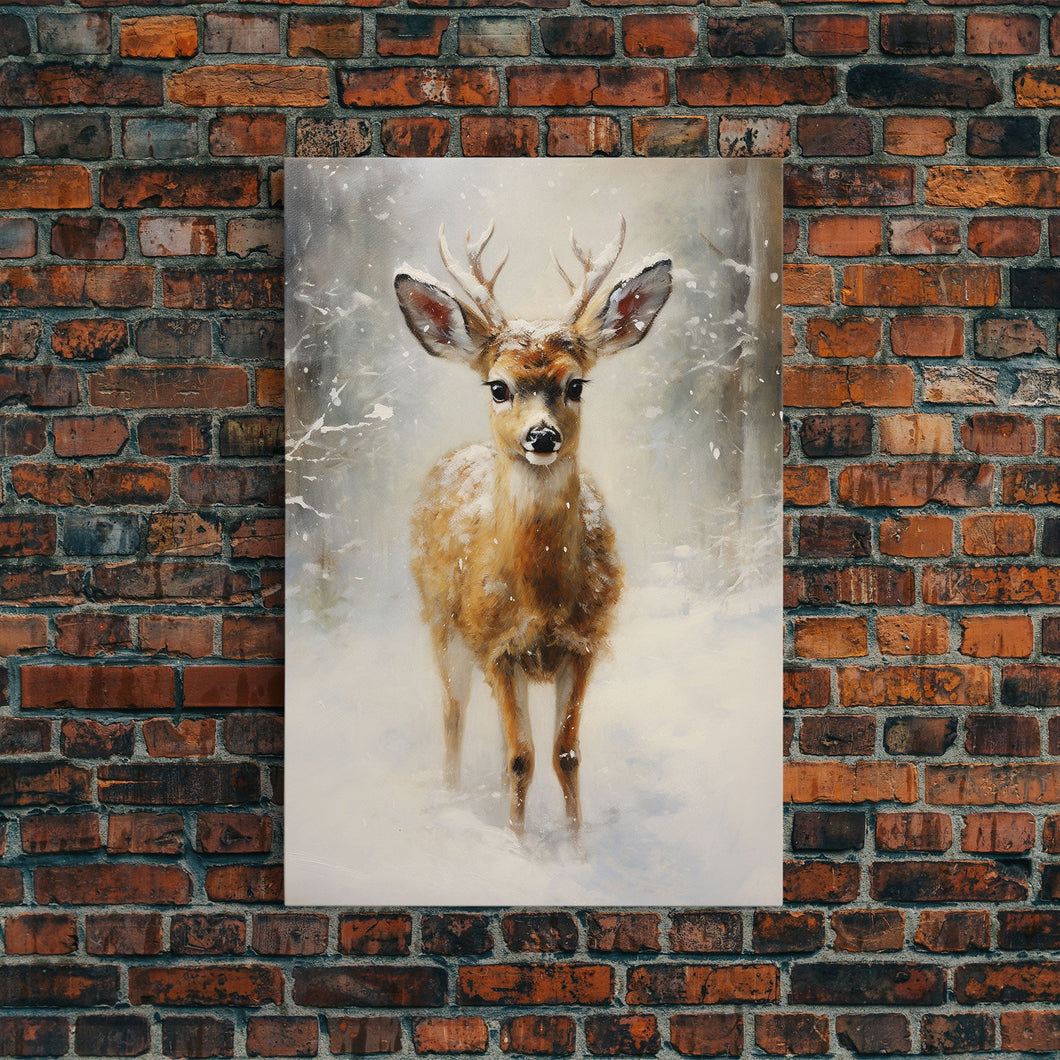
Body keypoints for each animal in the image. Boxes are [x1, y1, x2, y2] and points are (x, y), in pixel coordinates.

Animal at [394, 219, 672, 836]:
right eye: (498, 386)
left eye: (577, 385)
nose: (541, 436)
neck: (542, 596)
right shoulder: (497, 646)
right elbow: (522, 758)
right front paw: (518, 845)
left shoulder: (585, 641)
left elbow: (563, 755)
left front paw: (573, 843)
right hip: (441, 622)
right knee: (453, 714)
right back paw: (452, 796)